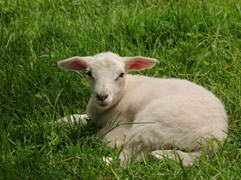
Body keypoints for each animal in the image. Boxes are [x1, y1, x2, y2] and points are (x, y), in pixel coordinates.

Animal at [58, 51, 228, 166]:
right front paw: (57, 123)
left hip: (150, 125)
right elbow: (76, 118)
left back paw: (97, 161)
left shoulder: (121, 123)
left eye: (121, 74)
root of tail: (212, 142)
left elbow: (102, 139)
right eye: (89, 73)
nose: (101, 96)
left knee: (129, 156)